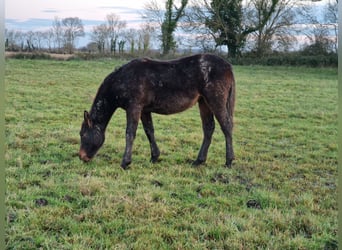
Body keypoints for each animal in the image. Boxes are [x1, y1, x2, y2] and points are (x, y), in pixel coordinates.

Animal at [79, 53, 235, 170]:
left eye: (83, 134)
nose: (81, 157)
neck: (124, 79)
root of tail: (228, 66)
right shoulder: (144, 110)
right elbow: (149, 131)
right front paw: (155, 156)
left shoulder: (134, 108)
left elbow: (130, 133)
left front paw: (125, 162)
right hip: (203, 103)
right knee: (208, 128)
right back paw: (199, 161)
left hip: (215, 101)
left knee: (226, 127)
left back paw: (229, 161)